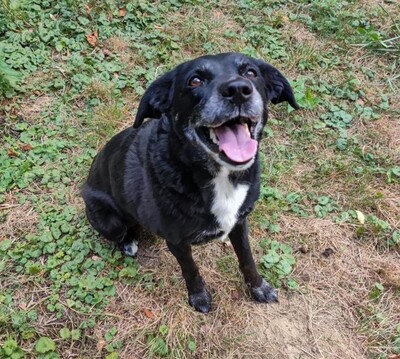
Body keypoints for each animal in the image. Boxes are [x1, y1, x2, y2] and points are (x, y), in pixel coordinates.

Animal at [82, 52, 296, 314]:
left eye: (251, 73)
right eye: (195, 81)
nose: (238, 90)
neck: (219, 176)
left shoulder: (239, 223)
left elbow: (247, 258)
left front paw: (258, 287)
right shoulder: (177, 242)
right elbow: (191, 270)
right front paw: (199, 297)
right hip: (110, 221)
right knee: (123, 230)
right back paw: (129, 243)